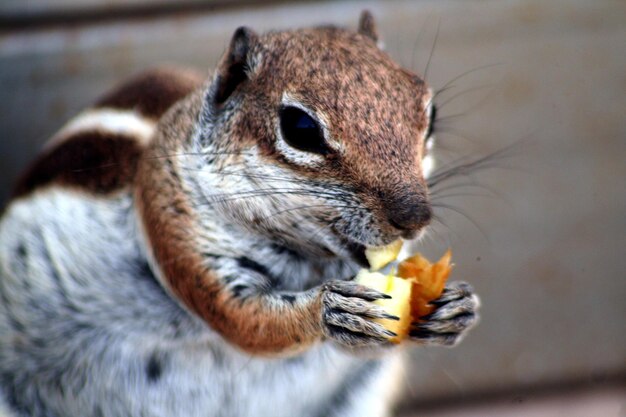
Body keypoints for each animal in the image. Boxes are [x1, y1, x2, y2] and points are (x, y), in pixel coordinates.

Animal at [0, 11, 478, 414]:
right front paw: (329, 310)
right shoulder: (177, 227)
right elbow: (245, 321)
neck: (307, 259)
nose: (415, 218)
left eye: (430, 112)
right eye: (300, 128)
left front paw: (455, 308)